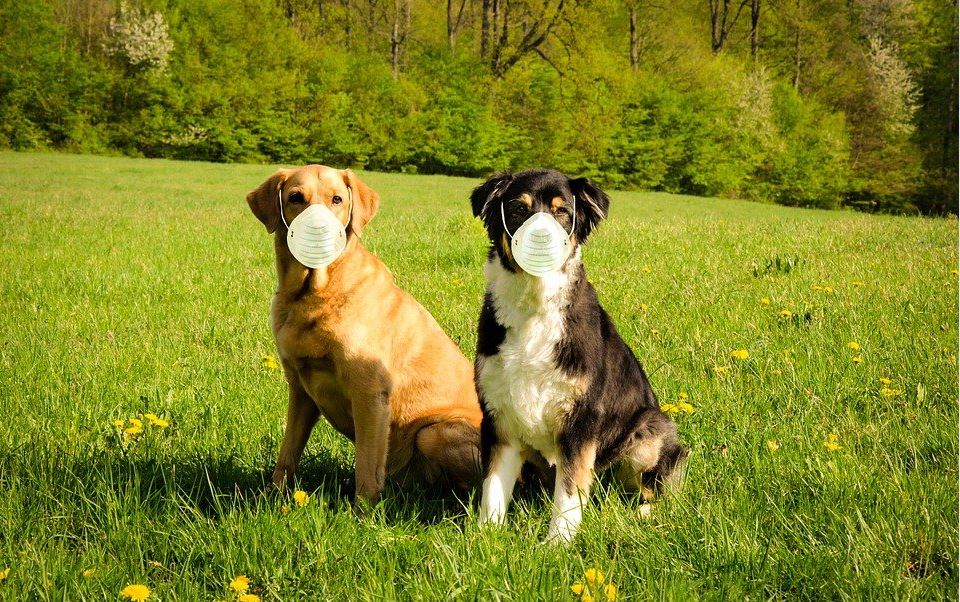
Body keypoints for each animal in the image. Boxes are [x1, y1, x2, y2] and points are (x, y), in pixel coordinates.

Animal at [248, 163, 484, 502]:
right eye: (295, 198)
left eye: (337, 199)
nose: (317, 234)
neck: (314, 294)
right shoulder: (300, 389)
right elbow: (287, 454)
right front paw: (272, 497)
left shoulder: (370, 392)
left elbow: (367, 469)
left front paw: (364, 511)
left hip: (433, 431)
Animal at [470, 168, 684, 540]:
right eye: (518, 209)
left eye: (562, 212)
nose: (540, 240)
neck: (534, 309)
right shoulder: (499, 418)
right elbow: (493, 488)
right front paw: (487, 537)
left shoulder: (581, 422)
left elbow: (568, 492)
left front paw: (558, 542)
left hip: (648, 431)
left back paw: (644, 513)